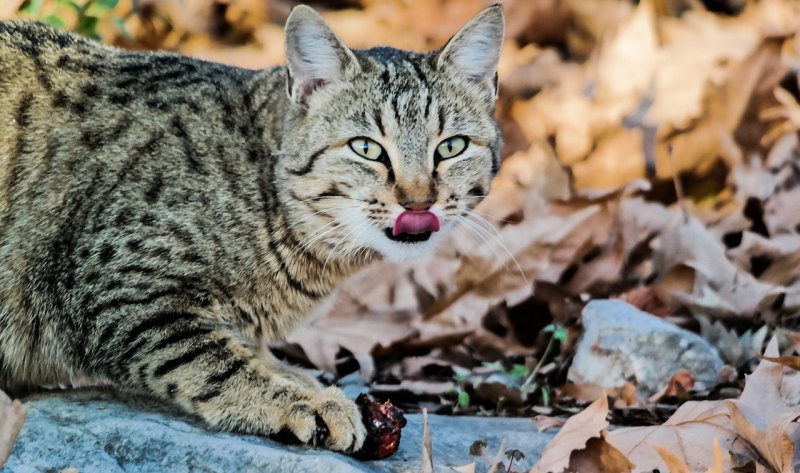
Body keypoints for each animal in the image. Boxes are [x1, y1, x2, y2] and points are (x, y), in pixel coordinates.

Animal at [0, 3, 500, 454]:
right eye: (367, 148)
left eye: (451, 147)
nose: (419, 202)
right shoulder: (115, 290)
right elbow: (211, 360)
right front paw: (300, 402)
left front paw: (301, 379)